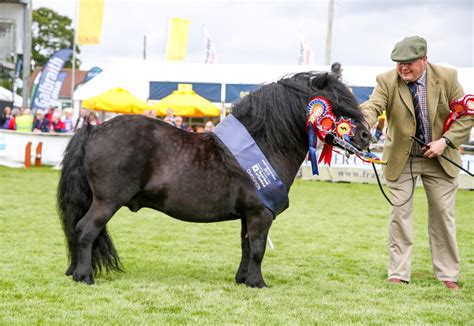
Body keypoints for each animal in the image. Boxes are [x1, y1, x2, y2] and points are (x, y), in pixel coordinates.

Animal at [57, 72, 372, 288]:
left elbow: (247, 246)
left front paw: (243, 280)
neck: (265, 143)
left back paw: (74, 271)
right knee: (85, 229)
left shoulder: (249, 214)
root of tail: (93, 129)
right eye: (337, 104)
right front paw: (258, 283)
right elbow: (258, 248)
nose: (366, 136)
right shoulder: (260, 214)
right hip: (107, 201)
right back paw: (84, 276)